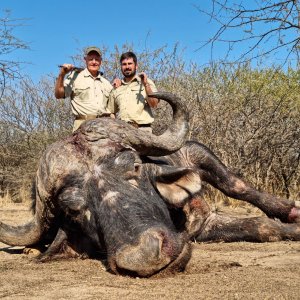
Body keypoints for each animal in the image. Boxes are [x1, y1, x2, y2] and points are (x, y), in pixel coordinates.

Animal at [0, 92, 298, 276]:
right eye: (73, 209)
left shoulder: (204, 216)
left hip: (202, 154)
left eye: (133, 166)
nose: (145, 254)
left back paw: (290, 210)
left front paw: (292, 226)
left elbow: (262, 223)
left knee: (237, 186)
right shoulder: (203, 230)